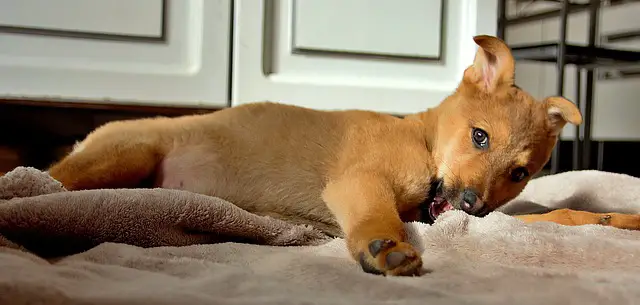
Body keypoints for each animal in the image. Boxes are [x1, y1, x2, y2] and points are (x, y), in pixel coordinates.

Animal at [46, 35, 640, 276]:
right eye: (479, 137)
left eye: (520, 173)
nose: (472, 204)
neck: (424, 141)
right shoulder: (361, 183)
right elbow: (378, 216)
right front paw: (388, 247)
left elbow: (558, 213)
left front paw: (616, 220)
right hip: (126, 154)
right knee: (51, 181)